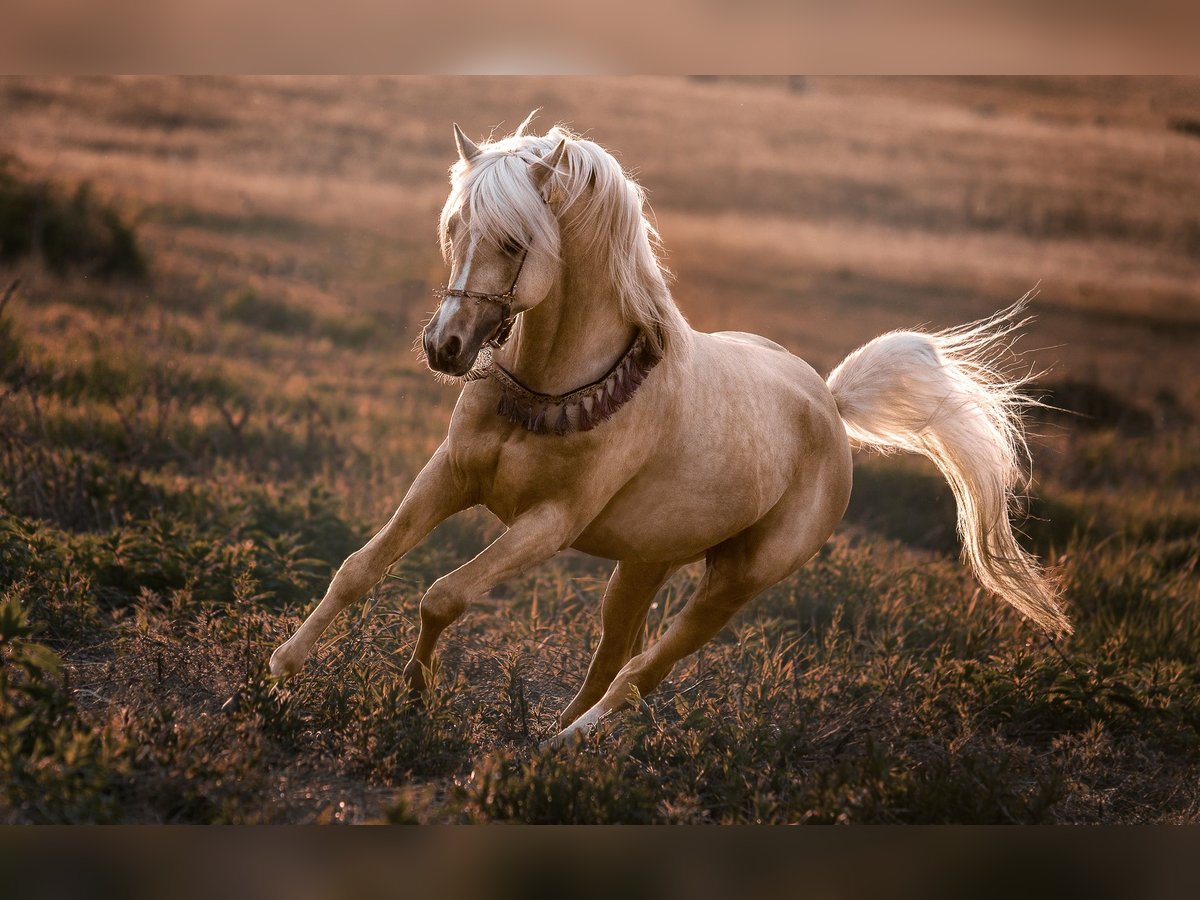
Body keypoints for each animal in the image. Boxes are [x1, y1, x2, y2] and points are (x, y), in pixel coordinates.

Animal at [270, 114, 1070, 748]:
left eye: (514, 241)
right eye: (454, 228)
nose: (446, 347)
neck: (554, 388)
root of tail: (831, 406)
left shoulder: (549, 524)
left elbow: (444, 595)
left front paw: (415, 697)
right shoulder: (449, 474)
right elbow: (360, 568)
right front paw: (282, 668)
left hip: (733, 584)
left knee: (642, 671)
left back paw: (565, 747)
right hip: (645, 562)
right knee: (613, 653)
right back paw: (550, 733)